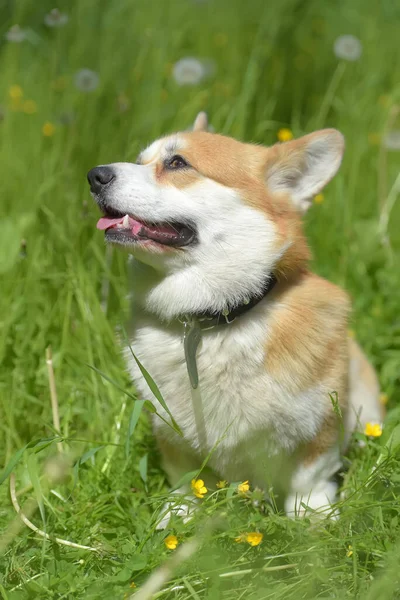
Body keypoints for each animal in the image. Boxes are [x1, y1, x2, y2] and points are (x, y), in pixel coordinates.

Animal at [88, 113, 384, 524]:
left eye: (177, 162)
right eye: (140, 159)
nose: (94, 175)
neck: (214, 320)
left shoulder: (319, 425)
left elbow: (311, 478)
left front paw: (312, 520)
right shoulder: (170, 430)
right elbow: (186, 478)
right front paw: (178, 515)